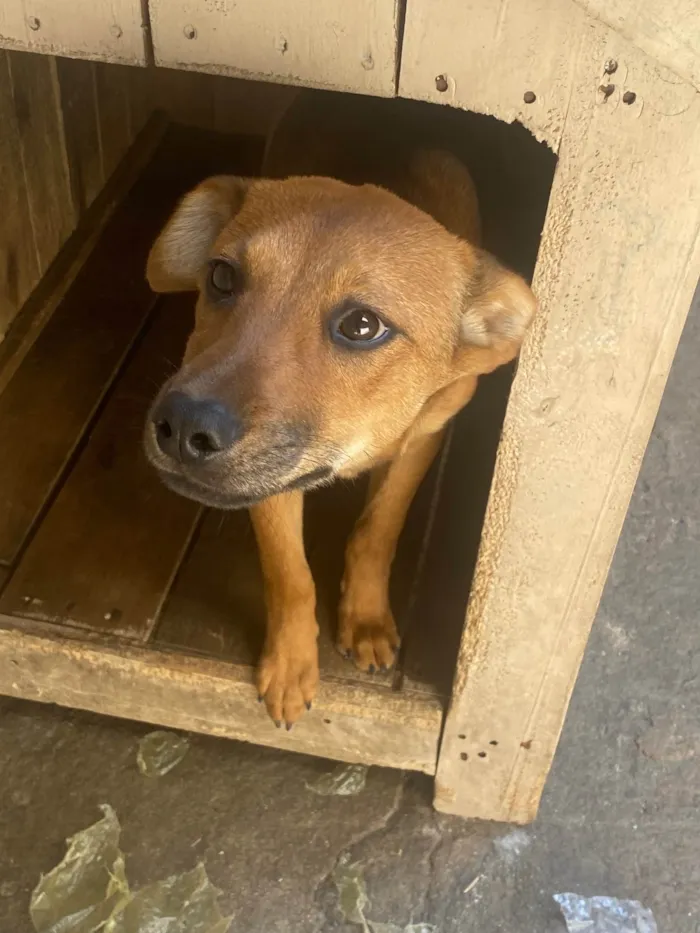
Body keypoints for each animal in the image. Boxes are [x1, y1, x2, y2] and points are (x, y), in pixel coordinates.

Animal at [142, 91, 536, 728]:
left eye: (363, 325)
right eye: (221, 277)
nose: (181, 429)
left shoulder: (425, 435)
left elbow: (378, 527)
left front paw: (366, 619)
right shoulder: (272, 481)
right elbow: (290, 574)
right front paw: (291, 667)